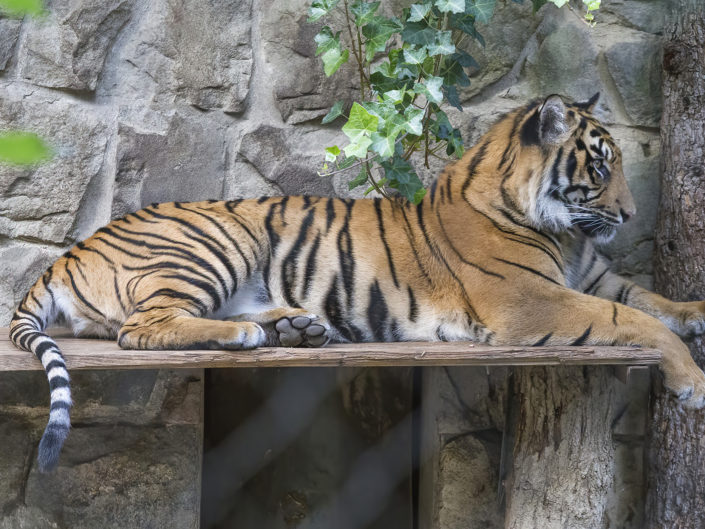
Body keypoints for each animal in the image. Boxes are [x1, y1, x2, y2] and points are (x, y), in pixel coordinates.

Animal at [9, 93, 705, 473]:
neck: (565, 232)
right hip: (217, 240)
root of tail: (65, 256)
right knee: (142, 327)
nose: (631, 216)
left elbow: (651, 301)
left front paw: (695, 311)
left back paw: (294, 327)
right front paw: (692, 381)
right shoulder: (529, 301)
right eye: (601, 167)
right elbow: (634, 323)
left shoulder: (598, 279)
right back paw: (247, 335)